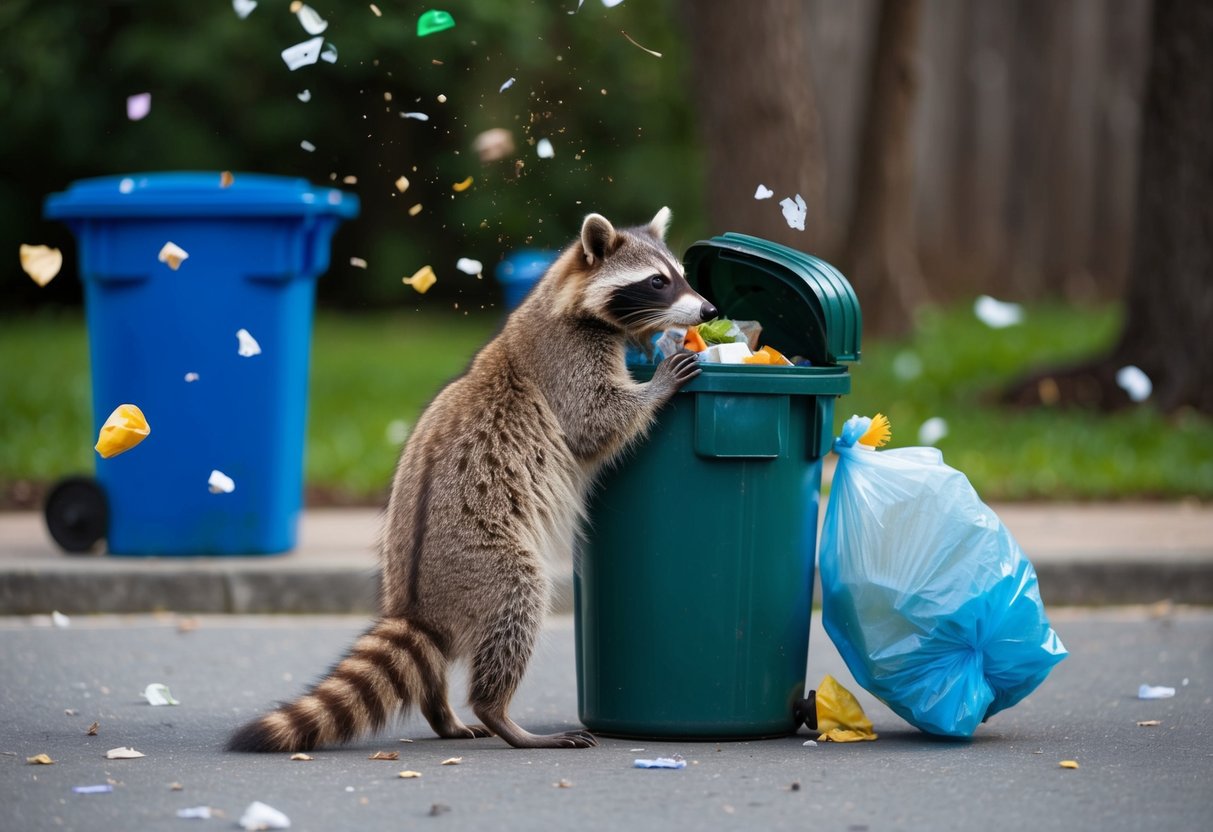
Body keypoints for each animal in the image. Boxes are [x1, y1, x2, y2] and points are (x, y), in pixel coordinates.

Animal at [228, 208, 716, 751]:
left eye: (680, 275)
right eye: (657, 282)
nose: (708, 309)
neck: (564, 296)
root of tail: (417, 606)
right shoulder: (566, 362)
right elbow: (593, 423)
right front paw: (657, 383)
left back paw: (441, 712)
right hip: (485, 563)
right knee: (520, 601)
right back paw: (500, 714)